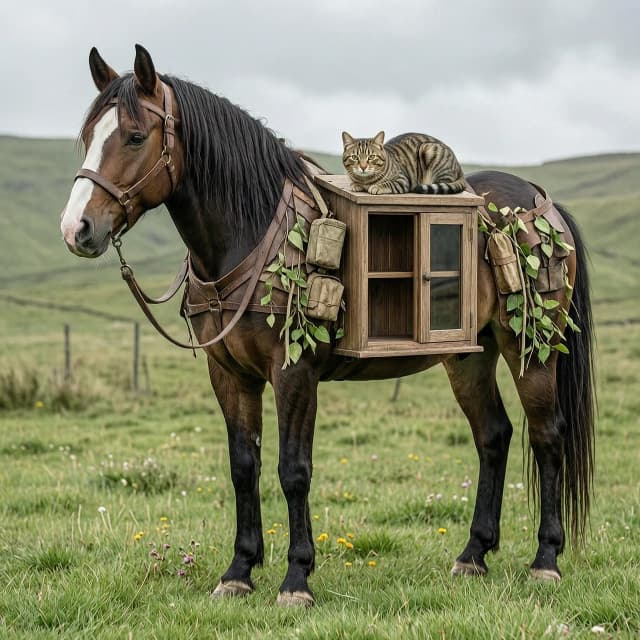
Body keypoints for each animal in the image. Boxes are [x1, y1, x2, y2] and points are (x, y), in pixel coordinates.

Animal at [60, 45, 595, 607]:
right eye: (88, 136)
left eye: (135, 136)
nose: (77, 229)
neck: (252, 234)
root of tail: (541, 201)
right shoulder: (229, 375)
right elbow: (243, 467)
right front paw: (238, 571)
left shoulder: (294, 374)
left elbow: (294, 471)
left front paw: (297, 577)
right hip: (468, 356)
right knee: (493, 435)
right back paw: (473, 554)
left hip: (532, 347)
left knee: (547, 436)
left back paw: (546, 559)